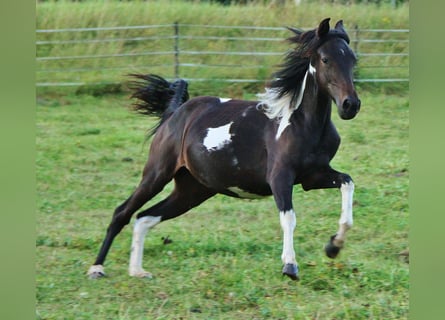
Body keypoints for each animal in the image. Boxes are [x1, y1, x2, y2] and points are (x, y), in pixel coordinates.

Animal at [87, 18, 360, 282]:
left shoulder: (312, 177)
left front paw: (333, 246)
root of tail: (174, 114)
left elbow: (347, 183)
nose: (350, 105)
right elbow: (289, 217)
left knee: (144, 218)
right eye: (325, 59)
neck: (302, 123)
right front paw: (290, 266)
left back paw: (138, 271)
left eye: (353, 59)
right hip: (157, 173)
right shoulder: (280, 177)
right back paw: (97, 269)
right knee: (122, 212)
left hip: (192, 190)